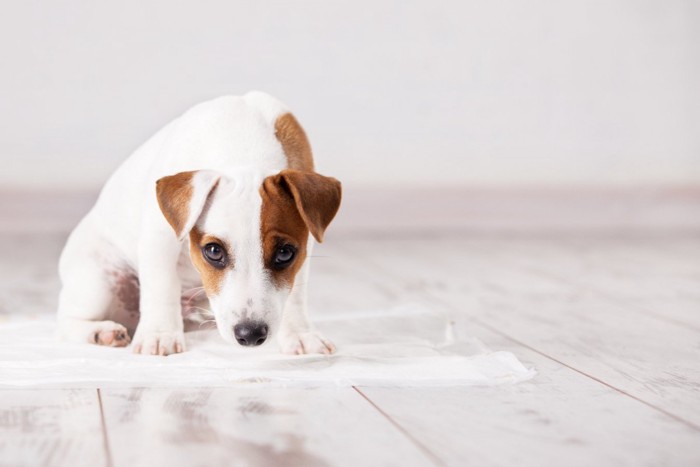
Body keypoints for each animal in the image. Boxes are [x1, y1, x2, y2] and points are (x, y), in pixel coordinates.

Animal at [58, 90, 344, 354]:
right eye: (214, 251)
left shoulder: (305, 246)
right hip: (97, 281)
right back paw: (101, 332)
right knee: (65, 322)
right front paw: (159, 335)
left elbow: (295, 294)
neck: (243, 148)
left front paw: (300, 334)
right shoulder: (160, 236)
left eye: (285, 253)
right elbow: (162, 285)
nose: (250, 335)